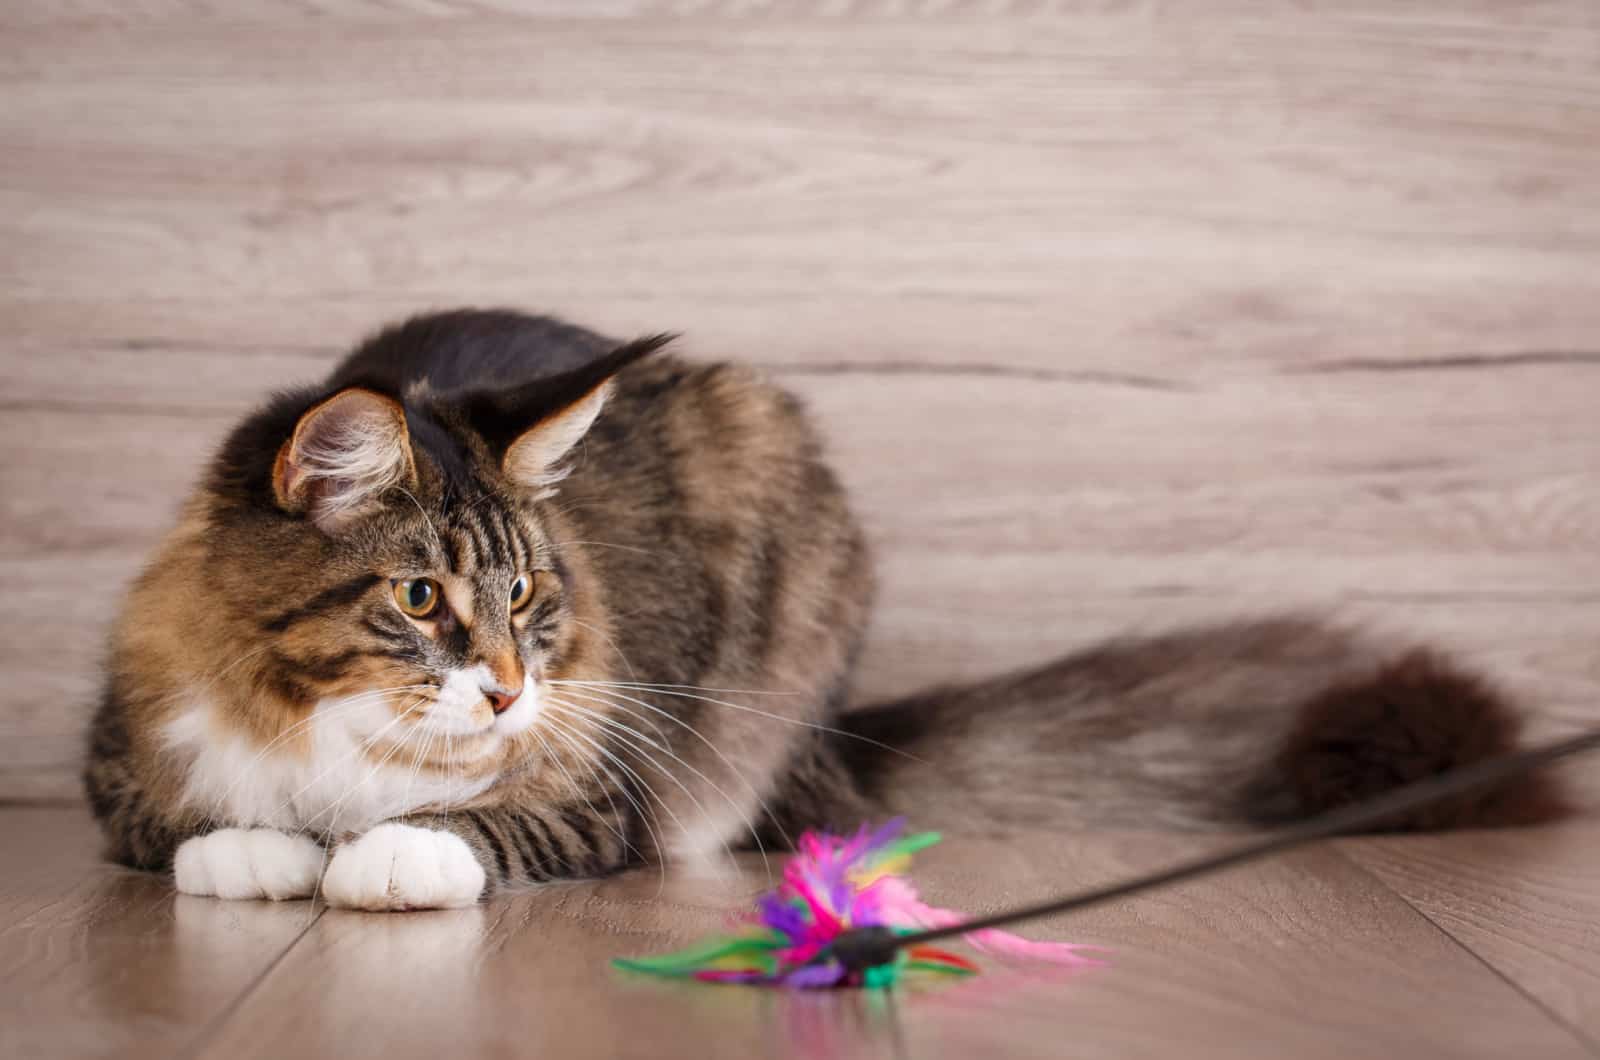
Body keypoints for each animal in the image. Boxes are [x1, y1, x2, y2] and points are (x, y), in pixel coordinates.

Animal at [78, 309, 1561, 915]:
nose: (507, 685)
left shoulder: (597, 786)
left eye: (528, 598)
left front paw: (385, 857)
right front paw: (262, 849)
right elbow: (195, 823)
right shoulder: (127, 753)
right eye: (421, 597)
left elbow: (471, 825)